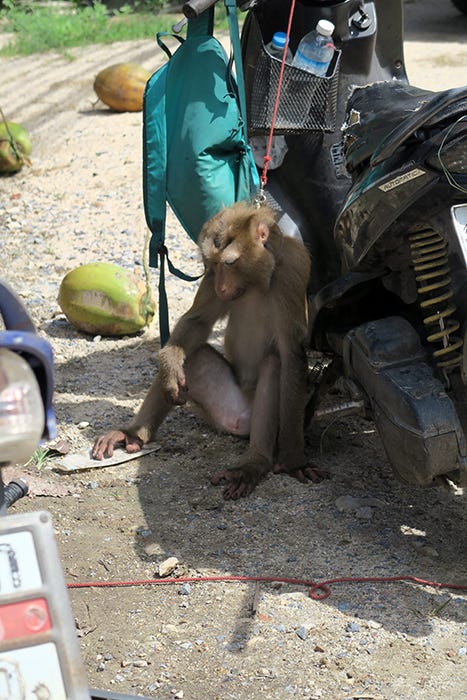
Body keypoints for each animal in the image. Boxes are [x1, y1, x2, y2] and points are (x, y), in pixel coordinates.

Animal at [92, 201, 324, 499]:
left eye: (229, 262)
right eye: (212, 264)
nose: (221, 286)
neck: (257, 281)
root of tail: (238, 422)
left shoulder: (292, 272)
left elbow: (291, 353)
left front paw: (295, 460)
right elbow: (197, 322)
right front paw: (169, 365)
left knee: (274, 364)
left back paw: (253, 464)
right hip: (220, 405)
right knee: (193, 357)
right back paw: (134, 433)